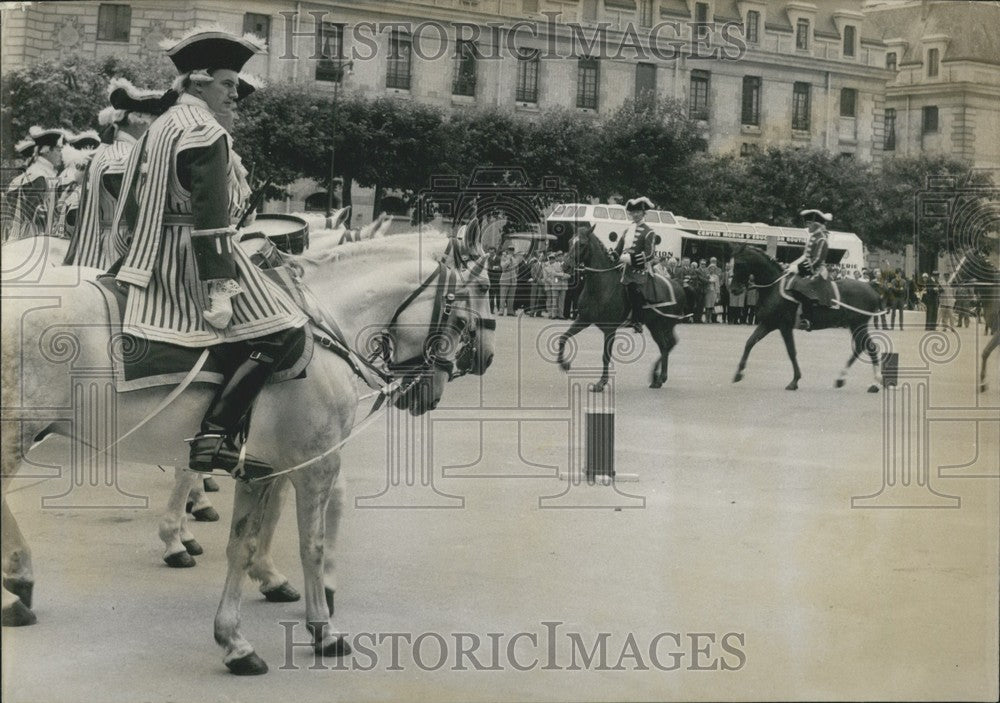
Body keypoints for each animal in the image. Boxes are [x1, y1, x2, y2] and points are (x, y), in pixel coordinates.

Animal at [1, 234, 494, 672]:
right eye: (468, 312)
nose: (477, 363)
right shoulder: (316, 464)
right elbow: (311, 543)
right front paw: (323, 627)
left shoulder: (261, 469)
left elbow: (243, 544)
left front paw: (235, 637)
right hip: (14, 434)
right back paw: (17, 584)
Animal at [556, 224, 688, 390]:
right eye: (569, 242)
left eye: (582, 244)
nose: (566, 266)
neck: (600, 286)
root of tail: (677, 285)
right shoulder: (583, 319)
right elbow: (563, 337)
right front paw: (564, 364)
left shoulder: (610, 329)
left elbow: (605, 356)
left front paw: (601, 383)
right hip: (654, 326)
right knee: (665, 346)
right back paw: (657, 378)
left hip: (664, 324)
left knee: (668, 345)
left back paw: (660, 377)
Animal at [732, 246, 888, 390]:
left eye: (740, 264)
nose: (734, 289)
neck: (775, 288)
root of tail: (870, 286)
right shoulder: (768, 324)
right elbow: (750, 342)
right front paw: (738, 374)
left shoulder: (784, 326)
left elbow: (791, 351)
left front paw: (794, 381)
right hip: (854, 325)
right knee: (865, 347)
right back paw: (852, 380)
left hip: (858, 324)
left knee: (867, 347)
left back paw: (868, 381)